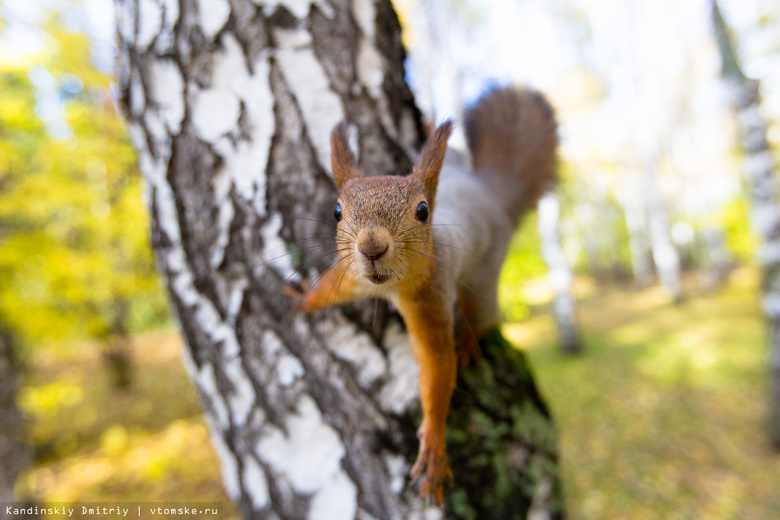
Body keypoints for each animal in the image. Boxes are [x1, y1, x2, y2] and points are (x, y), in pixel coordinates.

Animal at [286, 84, 560, 504]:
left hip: (483, 281)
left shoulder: (430, 298)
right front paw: (306, 298)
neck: (390, 287)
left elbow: (437, 366)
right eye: (336, 211)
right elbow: (331, 288)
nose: (371, 248)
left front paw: (433, 444)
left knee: (483, 317)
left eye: (422, 211)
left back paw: (468, 340)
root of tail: (492, 195)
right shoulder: (352, 276)